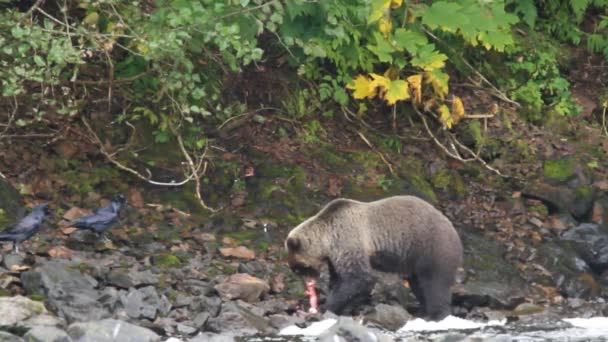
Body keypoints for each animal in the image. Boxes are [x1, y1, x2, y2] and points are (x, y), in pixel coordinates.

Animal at [284, 195, 460, 320]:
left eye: (299, 268)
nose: (308, 286)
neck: (327, 238)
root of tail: (452, 228)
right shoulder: (335, 256)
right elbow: (338, 278)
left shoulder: (348, 240)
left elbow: (358, 278)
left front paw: (327, 306)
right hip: (414, 257)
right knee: (418, 283)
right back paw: (422, 311)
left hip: (431, 246)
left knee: (435, 282)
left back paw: (436, 314)